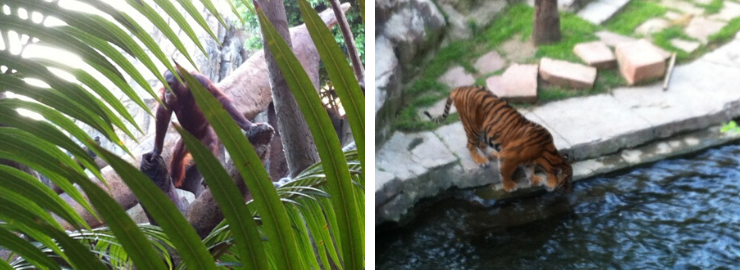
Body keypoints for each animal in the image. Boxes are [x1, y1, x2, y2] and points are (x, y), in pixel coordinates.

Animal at [422, 86, 572, 192]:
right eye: (567, 181)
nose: (568, 191)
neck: (546, 154)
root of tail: (459, 88)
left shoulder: (528, 161)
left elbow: (529, 170)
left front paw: (534, 180)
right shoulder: (508, 156)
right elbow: (506, 172)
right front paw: (509, 186)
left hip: (483, 130)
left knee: (481, 144)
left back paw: (492, 155)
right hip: (473, 127)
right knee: (470, 145)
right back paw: (481, 161)